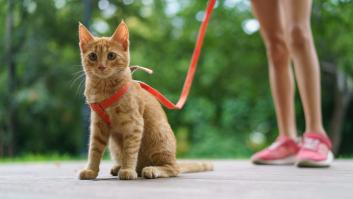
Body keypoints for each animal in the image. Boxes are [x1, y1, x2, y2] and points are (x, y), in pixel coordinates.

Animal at [77, 20, 212, 180]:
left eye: (111, 56)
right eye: (92, 56)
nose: (101, 66)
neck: (104, 89)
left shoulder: (134, 124)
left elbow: (130, 150)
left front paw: (128, 170)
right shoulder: (98, 125)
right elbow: (94, 150)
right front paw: (91, 170)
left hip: (159, 135)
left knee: (173, 169)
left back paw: (151, 169)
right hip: (114, 145)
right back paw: (119, 167)